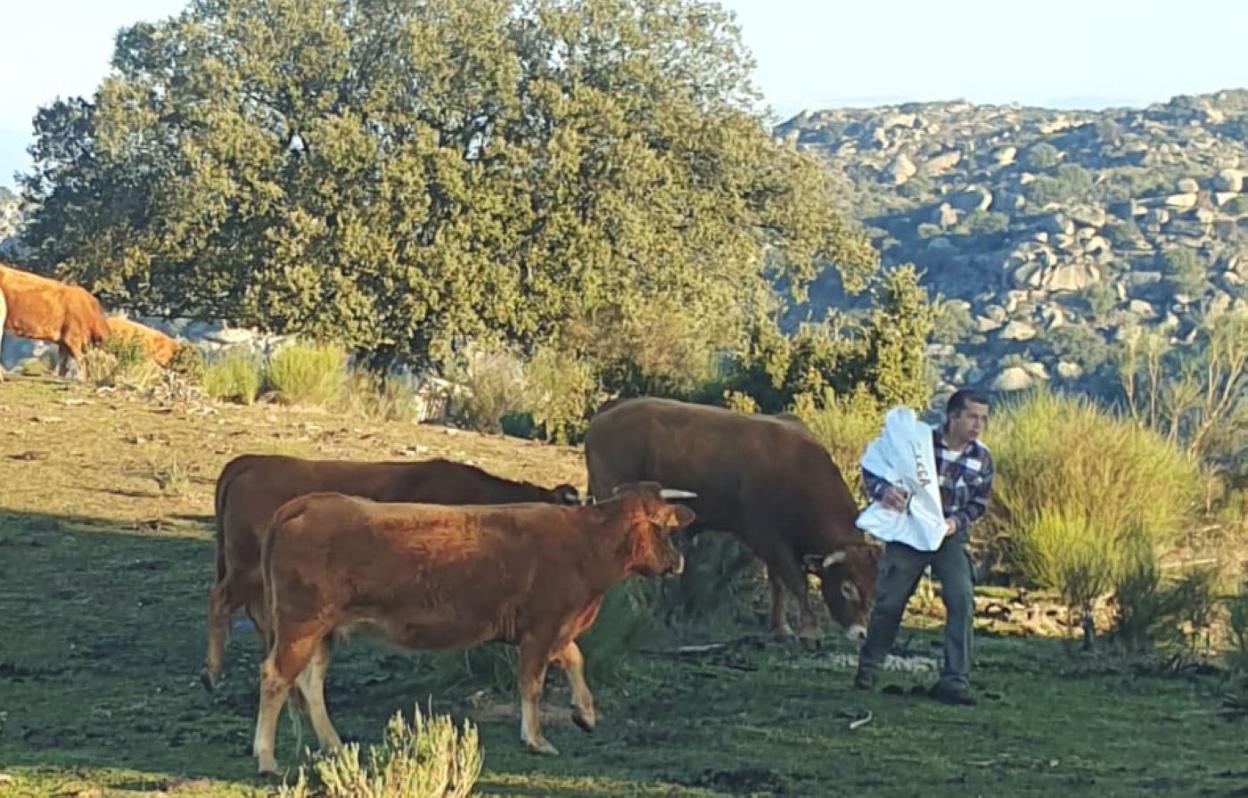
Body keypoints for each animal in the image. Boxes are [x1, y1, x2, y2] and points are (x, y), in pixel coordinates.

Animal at [247, 479, 688, 774]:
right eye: (664, 528)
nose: (678, 561)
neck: (584, 542)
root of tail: (304, 504)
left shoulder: (552, 629)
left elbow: (575, 659)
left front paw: (585, 714)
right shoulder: (541, 628)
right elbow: (532, 683)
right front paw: (537, 739)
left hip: (322, 633)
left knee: (309, 684)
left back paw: (334, 745)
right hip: (301, 625)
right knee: (275, 677)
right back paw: (266, 757)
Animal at [581, 397, 878, 649]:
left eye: (871, 588)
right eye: (847, 587)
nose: (861, 633)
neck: (797, 468)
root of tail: (613, 407)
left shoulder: (776, 543)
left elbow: (778, 583)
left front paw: (781, 627)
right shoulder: (766, 536)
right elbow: (796, 582)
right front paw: (810, 632)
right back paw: (635, 606)